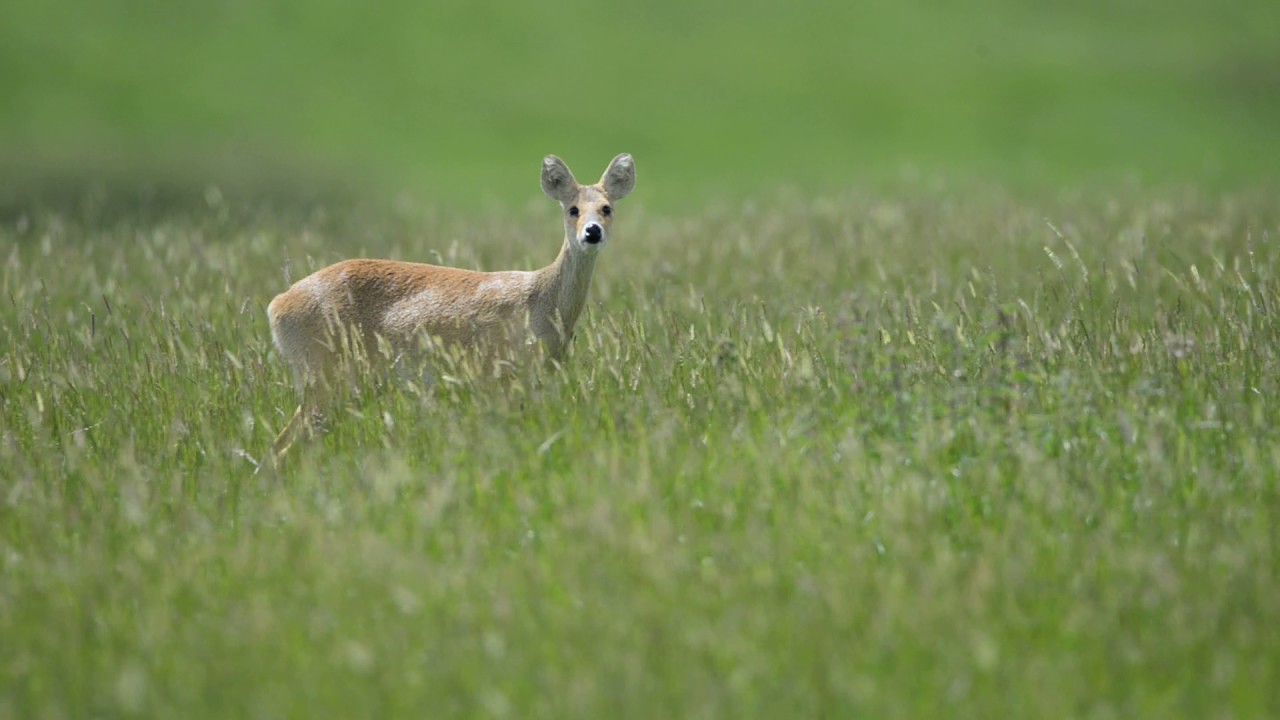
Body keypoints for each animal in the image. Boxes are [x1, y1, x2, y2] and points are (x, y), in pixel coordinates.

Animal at [266, 153, 636, 462]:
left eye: (607, 208)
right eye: (572, 208)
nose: (592, 232)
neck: (542, 302)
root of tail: (276, 306)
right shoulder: (502, 376)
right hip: (324, 374)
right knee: (284, 446)